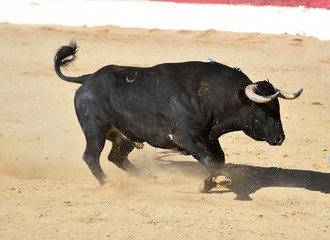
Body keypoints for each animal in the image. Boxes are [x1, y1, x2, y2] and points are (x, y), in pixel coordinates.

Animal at [54, 40, 304, 191]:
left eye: (278, 108)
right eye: (263, 109)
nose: (280, 138)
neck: (210, 94)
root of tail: (88, 78)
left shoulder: (209, 137)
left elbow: (217, 158)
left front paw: (207, 183)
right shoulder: (186, 136)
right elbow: (207, 157)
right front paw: (219, 180)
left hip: (124, 135)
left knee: (115, 156)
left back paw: (147, 178)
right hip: (94, 130)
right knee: (91, 156)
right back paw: (107, 183)